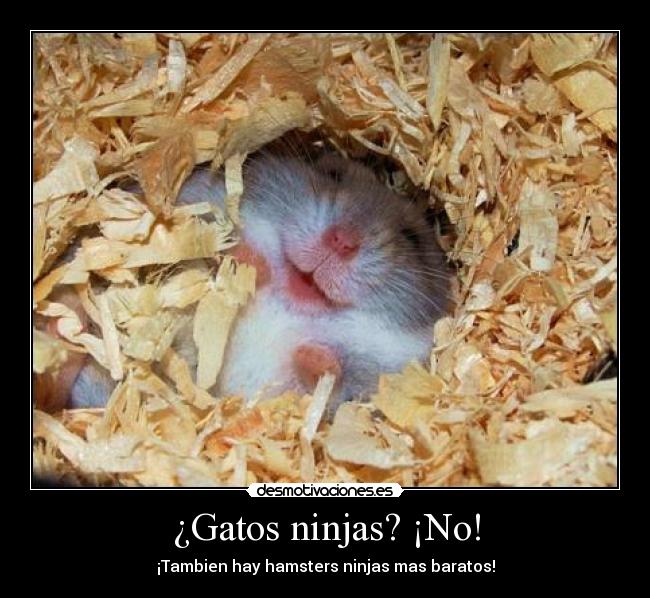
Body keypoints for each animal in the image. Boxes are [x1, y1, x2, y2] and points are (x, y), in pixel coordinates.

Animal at [65, 152, 451, 410]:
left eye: (413, 238)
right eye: (332, 173)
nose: (341, 241)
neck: (292, 305)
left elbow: (336, 378)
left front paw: (316, 357)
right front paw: (249, 260)